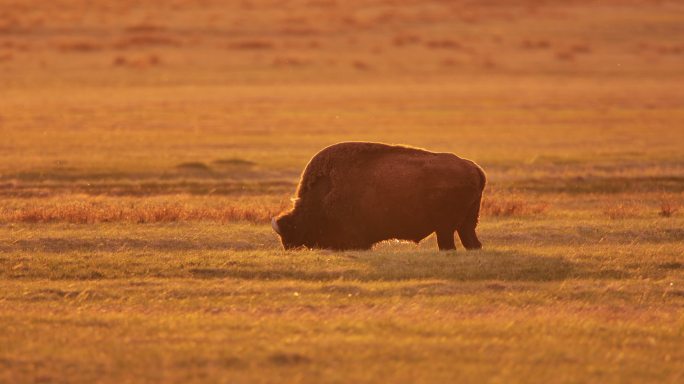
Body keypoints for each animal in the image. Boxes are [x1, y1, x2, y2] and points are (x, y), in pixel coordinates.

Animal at [272, 142, 486, 250]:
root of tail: (474, 168)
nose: (290, 248)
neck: (324, 192)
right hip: (466, 224)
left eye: (292, 230)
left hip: (445, 228)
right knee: (472, 243)